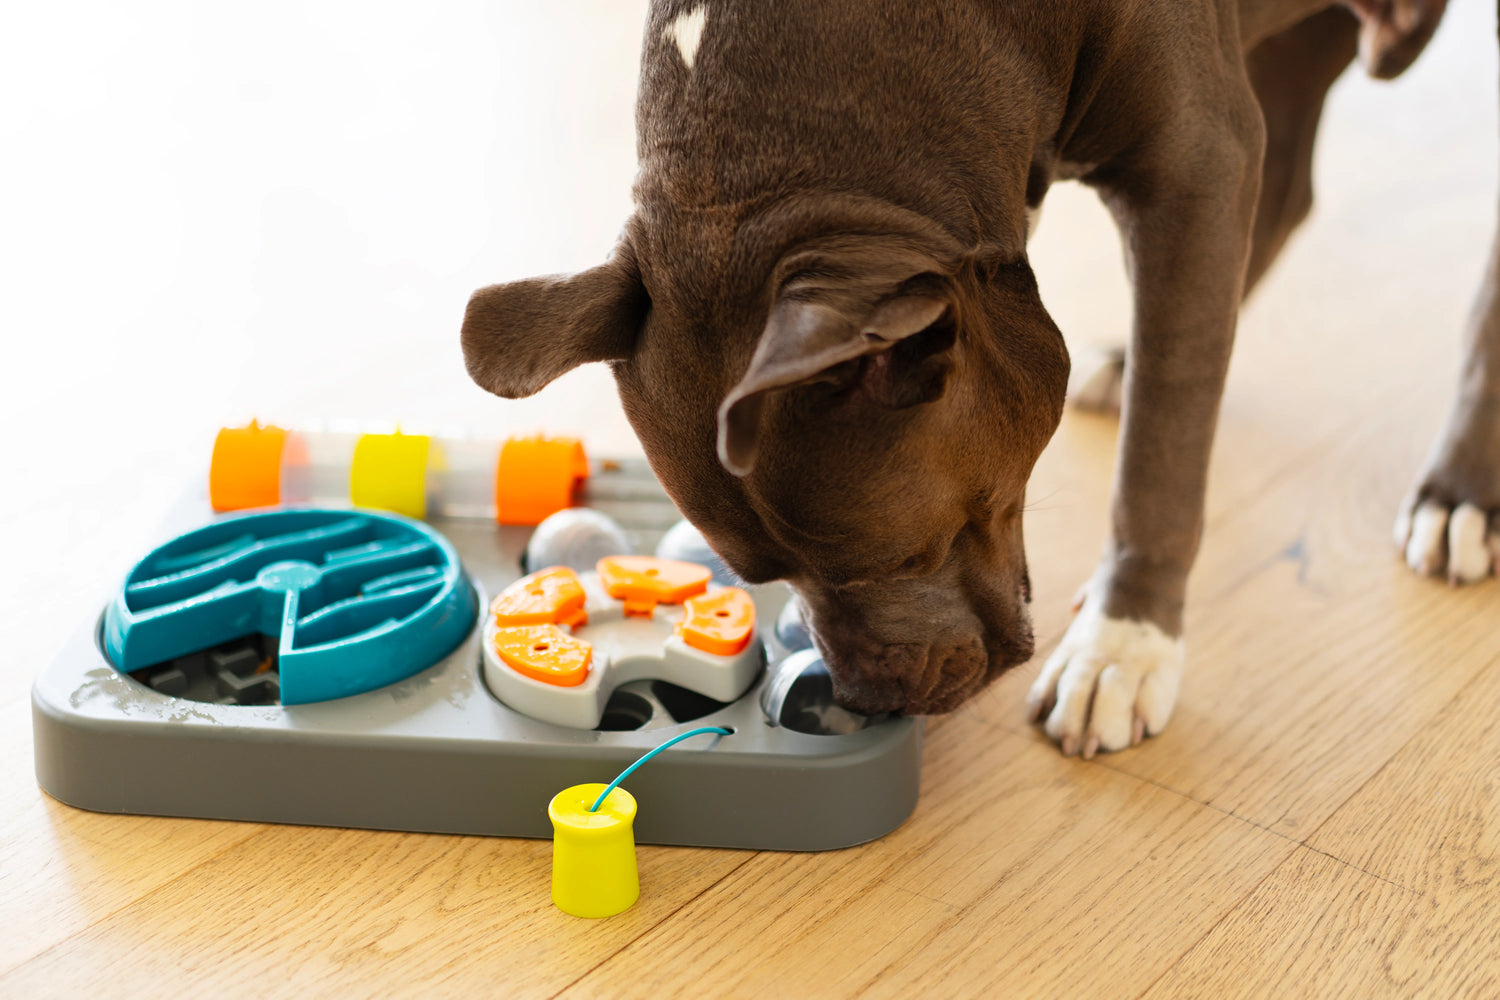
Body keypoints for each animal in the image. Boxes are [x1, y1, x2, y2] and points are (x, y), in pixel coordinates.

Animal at [462, 0, 1494, 755]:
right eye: (758, 575)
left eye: (903, 557)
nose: (866, 696)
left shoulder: (1194, 167)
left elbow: (1163, 448)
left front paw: (1124, 644)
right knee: (1284, 197)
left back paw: (1460, 497)